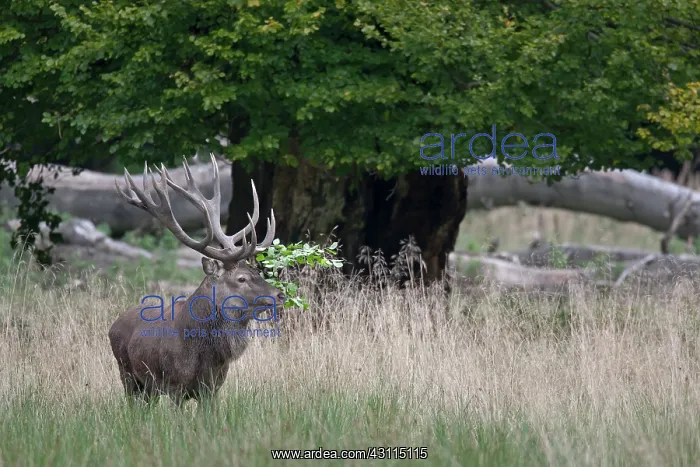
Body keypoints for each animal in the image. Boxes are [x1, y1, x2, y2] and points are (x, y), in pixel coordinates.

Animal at [108, 154, 284, 406]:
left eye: (257, 273)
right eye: (241, 278)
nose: (280, 295)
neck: (205, 355)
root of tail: (112, 326)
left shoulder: (213, 388)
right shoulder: (174, 386)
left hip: (148, 389)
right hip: (128, 375)